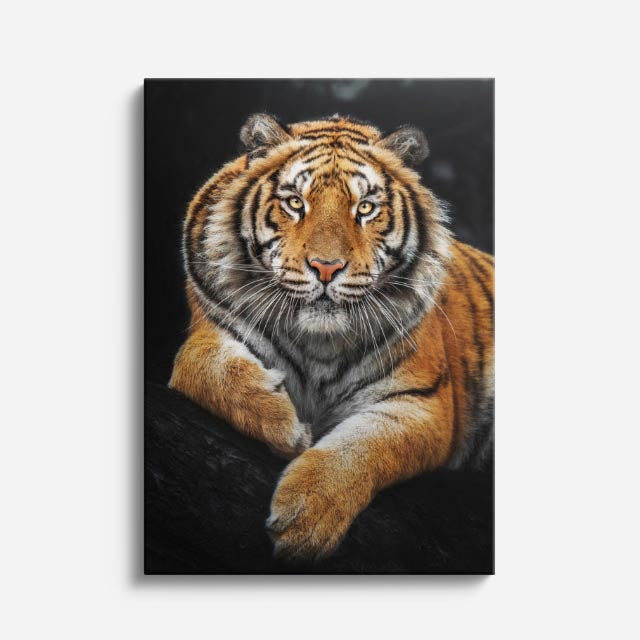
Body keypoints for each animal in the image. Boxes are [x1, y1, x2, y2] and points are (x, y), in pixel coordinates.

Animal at [169, 113, 494, 563]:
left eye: (365, 208)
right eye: (295, 203)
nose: (326, 267)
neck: (318, 344)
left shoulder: (421, 403)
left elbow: (364, 447)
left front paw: (307, 518)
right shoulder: (209, 329)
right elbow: (204, 366)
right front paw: (284, 425)